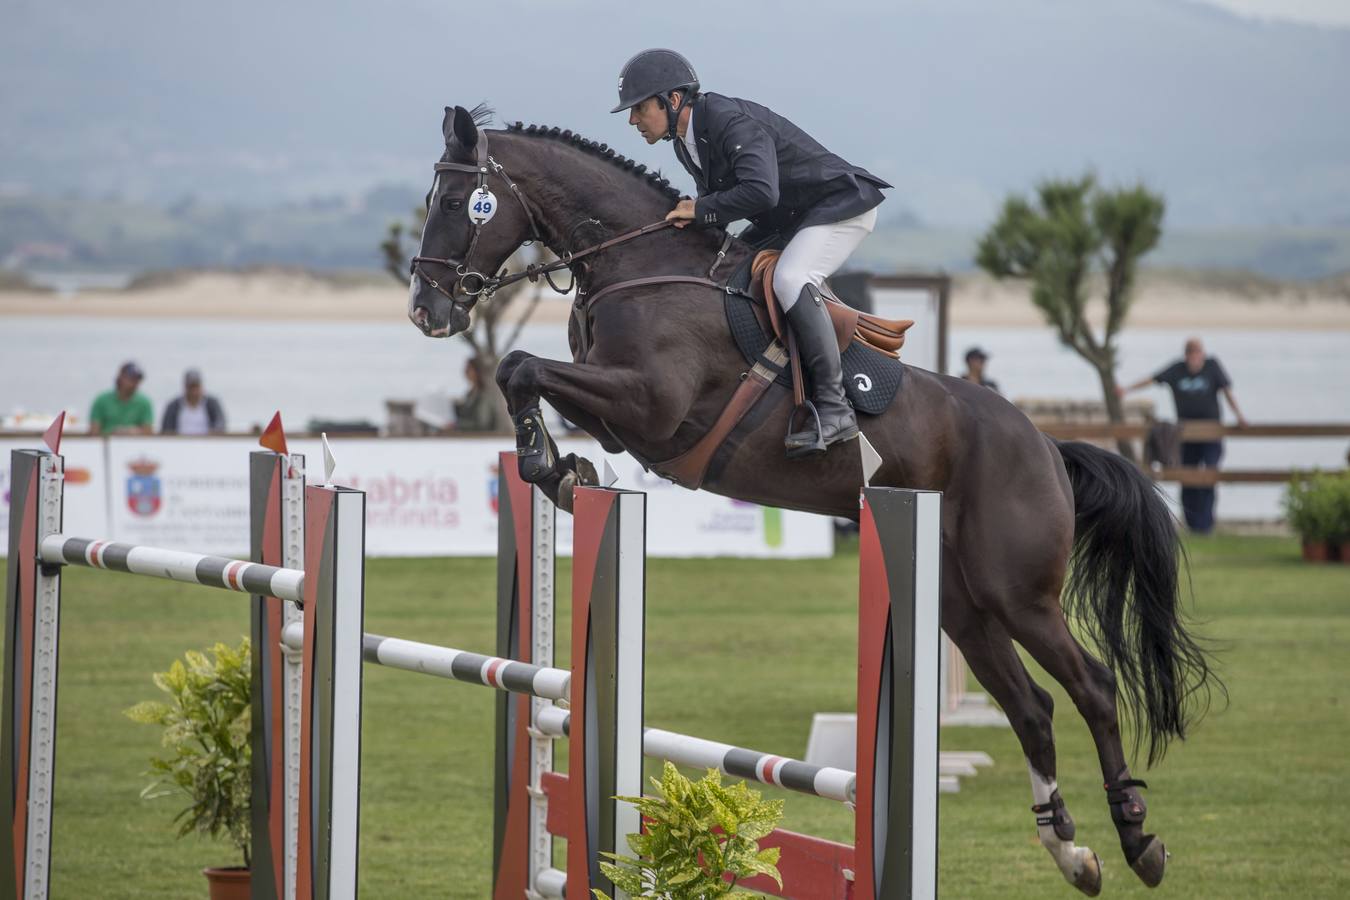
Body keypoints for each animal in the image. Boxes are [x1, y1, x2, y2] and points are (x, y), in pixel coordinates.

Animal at [405, 103, 1220, 895]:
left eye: (453, 201)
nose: (426, 312)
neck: (643, 266)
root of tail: (1048, 447)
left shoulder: (651, 407)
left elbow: (518, 365)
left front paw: (548, 464)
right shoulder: (623, 420)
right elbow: (524, 375)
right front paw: (561, 469)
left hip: (1016, 592)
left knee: (1092, 688)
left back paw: (1138, 840)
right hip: (959, 601)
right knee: (1033, 708)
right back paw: (1070, 853)